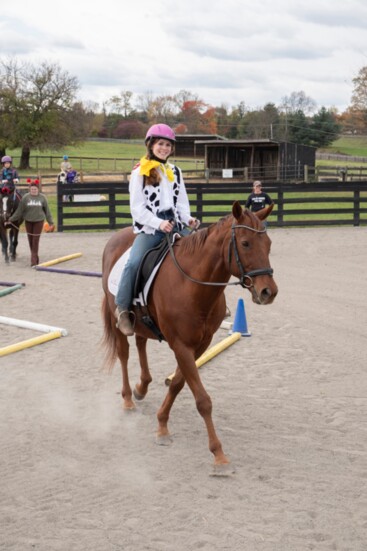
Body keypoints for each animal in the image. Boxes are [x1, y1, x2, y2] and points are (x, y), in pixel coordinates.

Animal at [102, 203, 278, 474]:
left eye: (267, 243)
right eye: (246, 243)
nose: (268, 291)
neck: (193, 286)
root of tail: (116, 238)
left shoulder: (200, 345)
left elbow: (177, 384)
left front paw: (162, 425)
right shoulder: (181, 345)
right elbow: (203, 400)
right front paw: (218, 455)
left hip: (142, 320)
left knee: (141, 343)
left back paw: (142, 387)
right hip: (118, 319)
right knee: (124, 353)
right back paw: (129, 399)